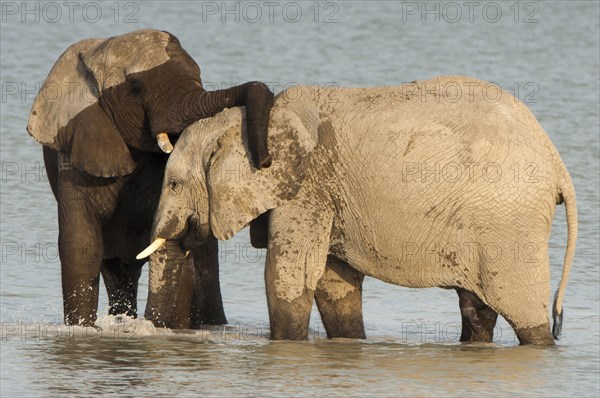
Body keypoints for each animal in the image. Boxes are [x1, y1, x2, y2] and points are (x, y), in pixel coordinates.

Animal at [25, 29, 274, 328]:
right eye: (135, 88)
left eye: (199, 74)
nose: (265, 160)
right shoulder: (74, 152)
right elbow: (82, 245)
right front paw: (84, 329)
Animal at [139, 77, 576, 346]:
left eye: (174, 184)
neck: (250, 123)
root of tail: (558, 163)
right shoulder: (328, 195)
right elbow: (335, 284)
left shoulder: (307, 186)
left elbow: (290, 274)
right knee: (476, 309)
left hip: (508, 224)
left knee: (525, 316)